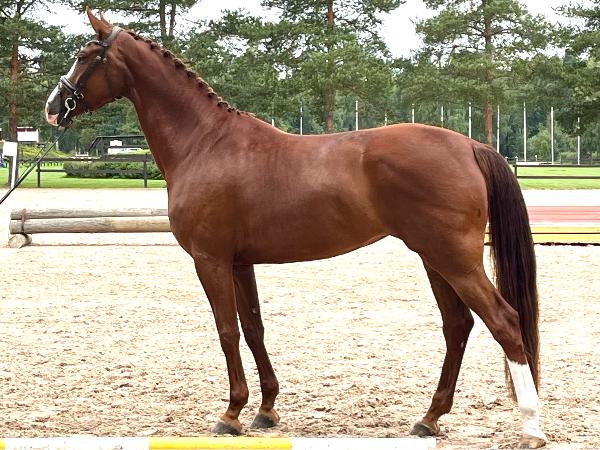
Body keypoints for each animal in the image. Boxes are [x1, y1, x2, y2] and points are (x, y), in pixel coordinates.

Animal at [45, 9, 547, 448]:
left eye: (86, 55)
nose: (53, 108)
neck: (205, 143)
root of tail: (470, 145)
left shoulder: (210, 260)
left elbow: (226, 330)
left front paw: (231, 414)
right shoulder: (240, 263)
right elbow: (253, 328)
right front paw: (265, 409)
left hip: (454, 260)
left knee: (503, 322)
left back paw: (530, 426)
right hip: (434, 259)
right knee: (458, 325)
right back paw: (429, 418)